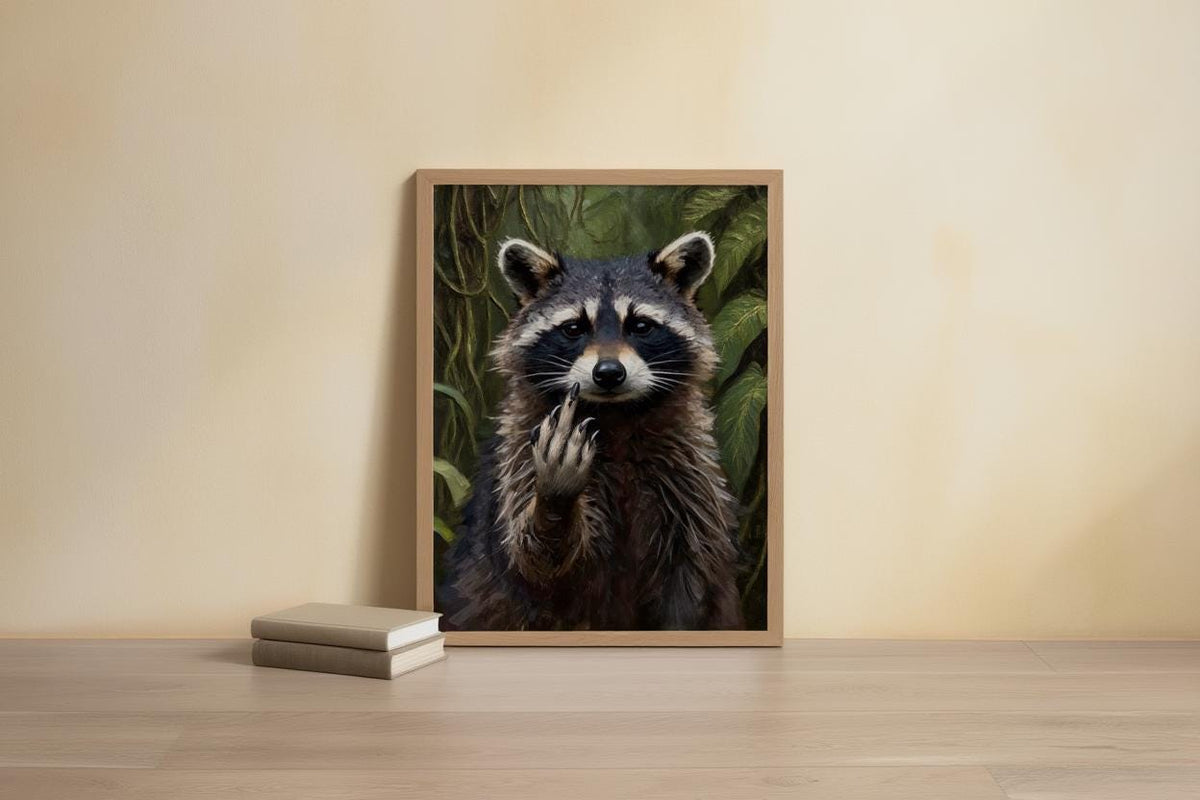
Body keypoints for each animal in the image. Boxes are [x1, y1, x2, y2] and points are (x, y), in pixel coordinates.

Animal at [439, 231, 744, 631]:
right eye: (573, 328)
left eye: (641, 326)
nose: (609, 373)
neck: (615, 415)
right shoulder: (517, 456)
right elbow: (535, 561)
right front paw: (554, 497)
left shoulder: (688, 478)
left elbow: (691, 574)